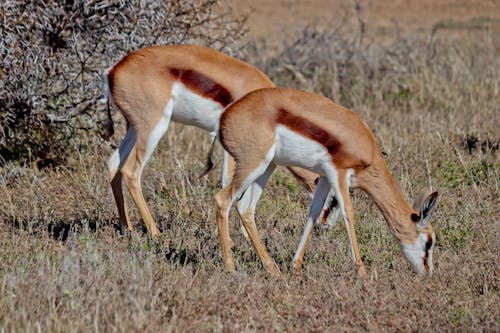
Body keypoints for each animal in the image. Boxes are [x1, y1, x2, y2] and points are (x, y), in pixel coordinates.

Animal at [104, 44, 320, 236]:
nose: (321, 225)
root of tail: (114, 70)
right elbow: (230, 186)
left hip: (135, 129)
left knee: (113, 164)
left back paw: (127, 229)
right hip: (154, 127)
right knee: (131, 172)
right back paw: (155, 233)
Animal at [213, 87, 440, 274]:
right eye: (429, 242)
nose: (428, 273)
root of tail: (226, 115)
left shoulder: (323, 177)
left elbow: (313, 213)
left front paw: (295, 267)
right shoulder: (338, 173)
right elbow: (349, 214)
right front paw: (363, 274)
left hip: (268, 167)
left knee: (245, 208)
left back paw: (273, 270)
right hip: (253, 165)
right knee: (223, 200)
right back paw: (231, 268)